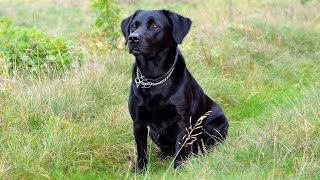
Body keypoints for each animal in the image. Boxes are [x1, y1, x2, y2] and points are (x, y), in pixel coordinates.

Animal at [121, 9, 229, 172]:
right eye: (133, 26)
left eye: (155, 26)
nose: (133, 38)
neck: (154, 78)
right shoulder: (138, 122)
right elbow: (141, 150)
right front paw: (141, 170)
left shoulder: (182, 121)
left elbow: (180, 147)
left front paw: (178, 168)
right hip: (154, 133)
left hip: (216, 125)